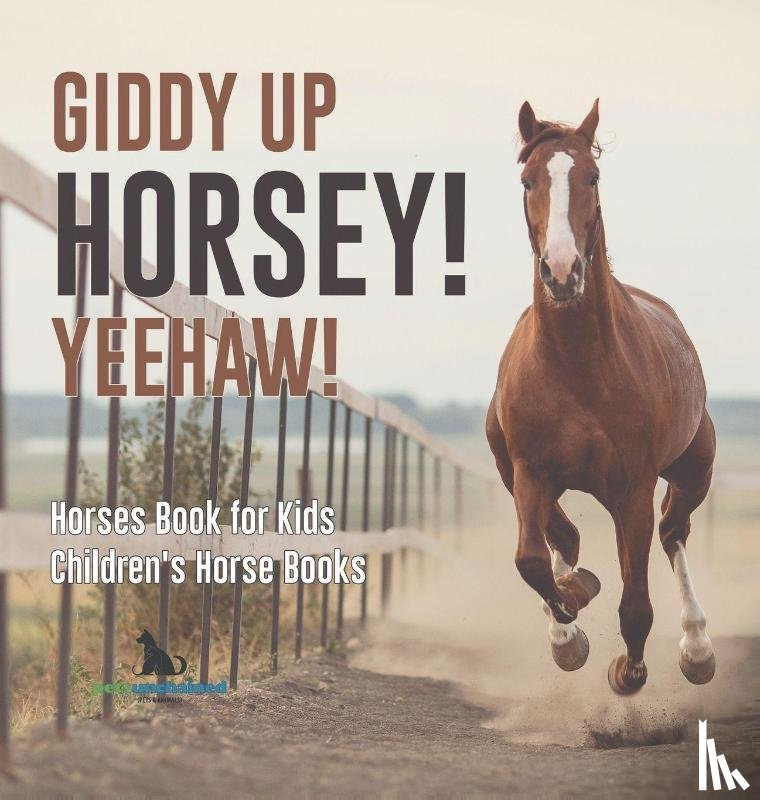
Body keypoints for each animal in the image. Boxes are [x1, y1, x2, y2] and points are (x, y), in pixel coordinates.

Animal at [486, 99, 716, 694]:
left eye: (592, 176)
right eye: (528, 180)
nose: (563, 271)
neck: (577, 367)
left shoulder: (633, 488)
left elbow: (636, 605)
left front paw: (628, 672)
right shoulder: (530, 472)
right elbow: (532, 561)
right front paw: (571, 621)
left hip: (692, 471)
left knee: (673, 533)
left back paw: (697, 648)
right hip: (513, 469)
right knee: (563, 538)